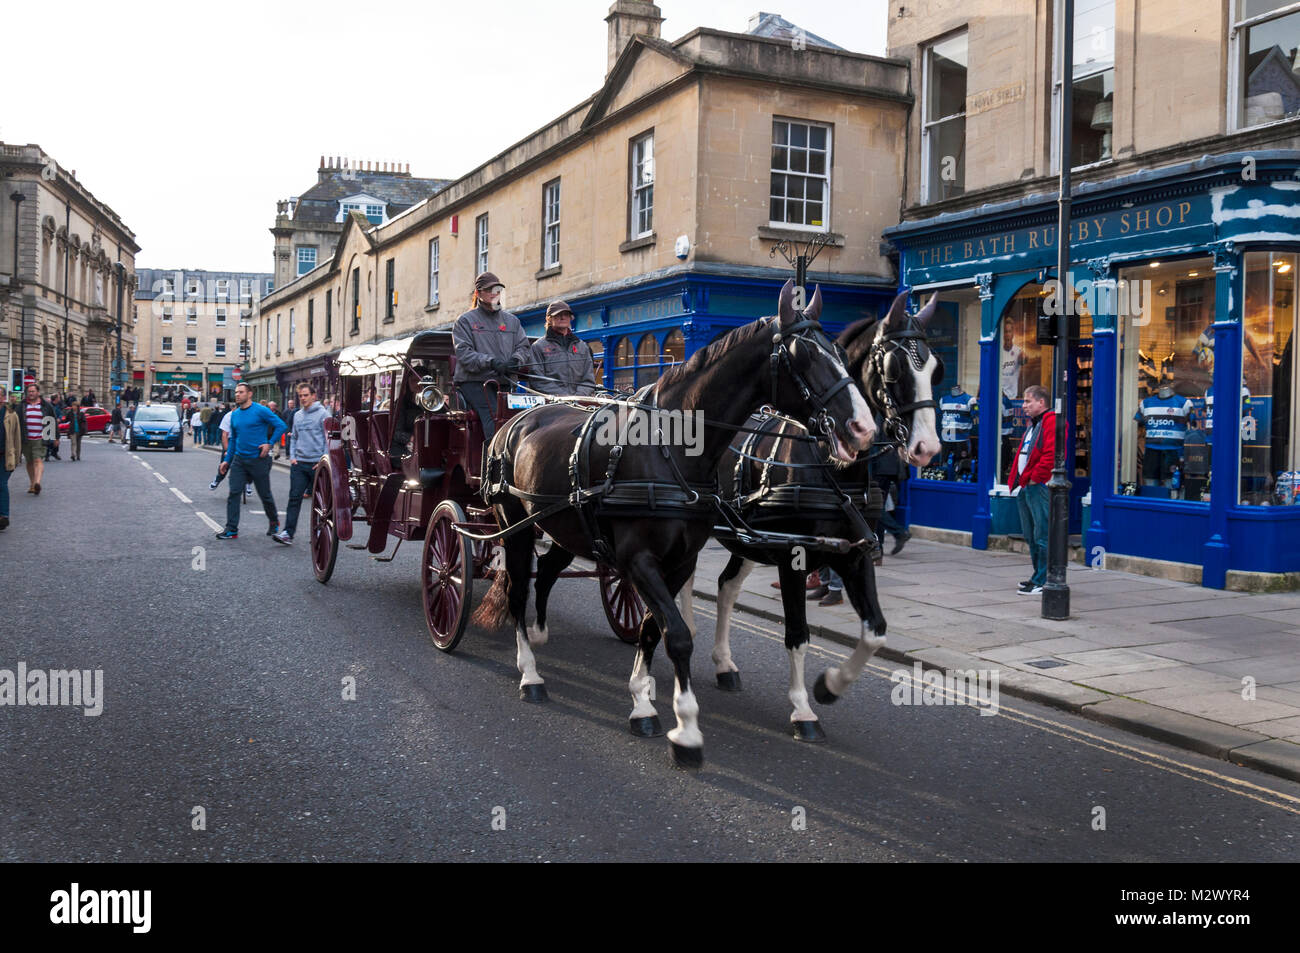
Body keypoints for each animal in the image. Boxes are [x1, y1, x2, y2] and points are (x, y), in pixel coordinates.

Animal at [467, 280, 873, 764]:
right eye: (804, 356)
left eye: (842, 354)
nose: (863, 428)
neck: (672, 447)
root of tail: (522, 414)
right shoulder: (639, 558)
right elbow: (677, 635)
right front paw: (687, 729)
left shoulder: (678, 559)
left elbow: (651, 627)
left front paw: (643, 701)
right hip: (515, 523)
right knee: (516, 588)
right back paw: (530, 672)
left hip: (565, 524)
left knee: (545, 572)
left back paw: (540, 632)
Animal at [676, 288, 941, 738]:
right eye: (893, 369)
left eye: (935, 369)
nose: (928, 448)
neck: (828, 464)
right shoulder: (793, 557)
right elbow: (797, 634)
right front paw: (802, 709)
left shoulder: (854, 551)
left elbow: (876, 632)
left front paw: (829, 686)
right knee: (686, 581)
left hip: (746, 537)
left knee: (726, 586)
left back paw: (724, 664)